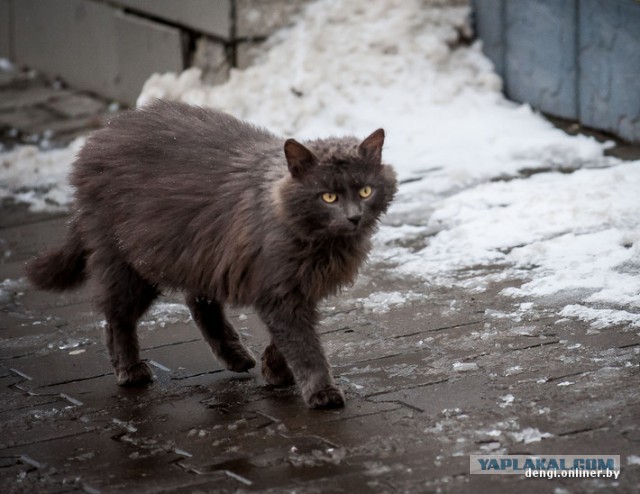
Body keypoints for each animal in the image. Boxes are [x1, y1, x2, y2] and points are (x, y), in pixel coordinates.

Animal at [27, 99, 398, 410]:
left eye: (365, 191)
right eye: (328, 197)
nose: (354, 216)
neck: (322, 242)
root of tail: (102, 133)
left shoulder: (296, 289)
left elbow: (286, 341)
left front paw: (274, 370)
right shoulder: (280, 292)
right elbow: (304, 346)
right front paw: (322, 392)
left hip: (195, 252)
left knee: (197, 302)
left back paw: (236, 356)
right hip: (131, 262)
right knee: (118, 318)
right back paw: (130, 371)